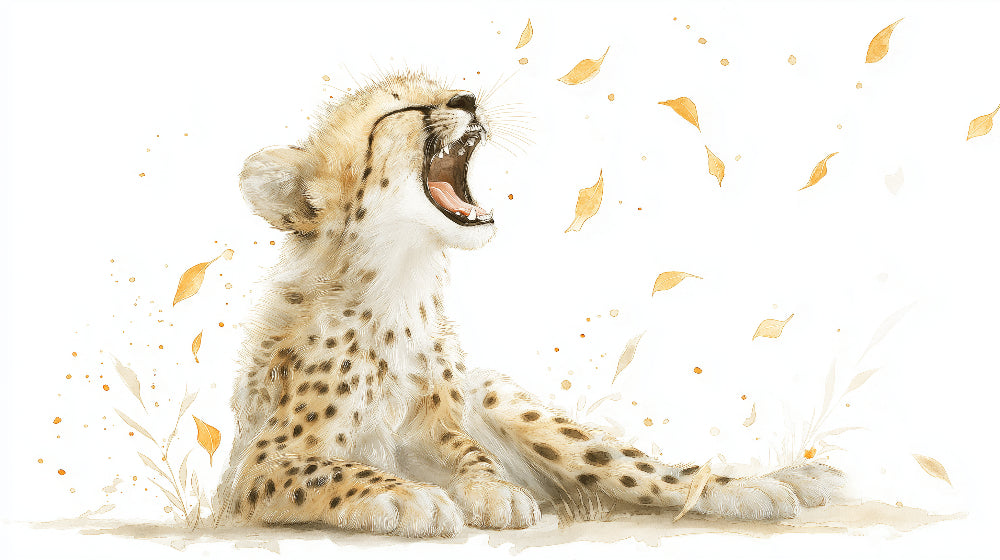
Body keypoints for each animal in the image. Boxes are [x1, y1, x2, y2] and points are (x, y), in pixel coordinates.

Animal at [215, 70, 846, 537]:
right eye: (403, 110)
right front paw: (411, 497)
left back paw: (758, 487)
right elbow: (331, 469)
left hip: (515, 407)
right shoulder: (259, 463)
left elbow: (470, 453)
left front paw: (491, 490)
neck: (402, 285)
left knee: (640, 469)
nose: (467, 98)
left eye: (444, 89)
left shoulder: (442, 426)